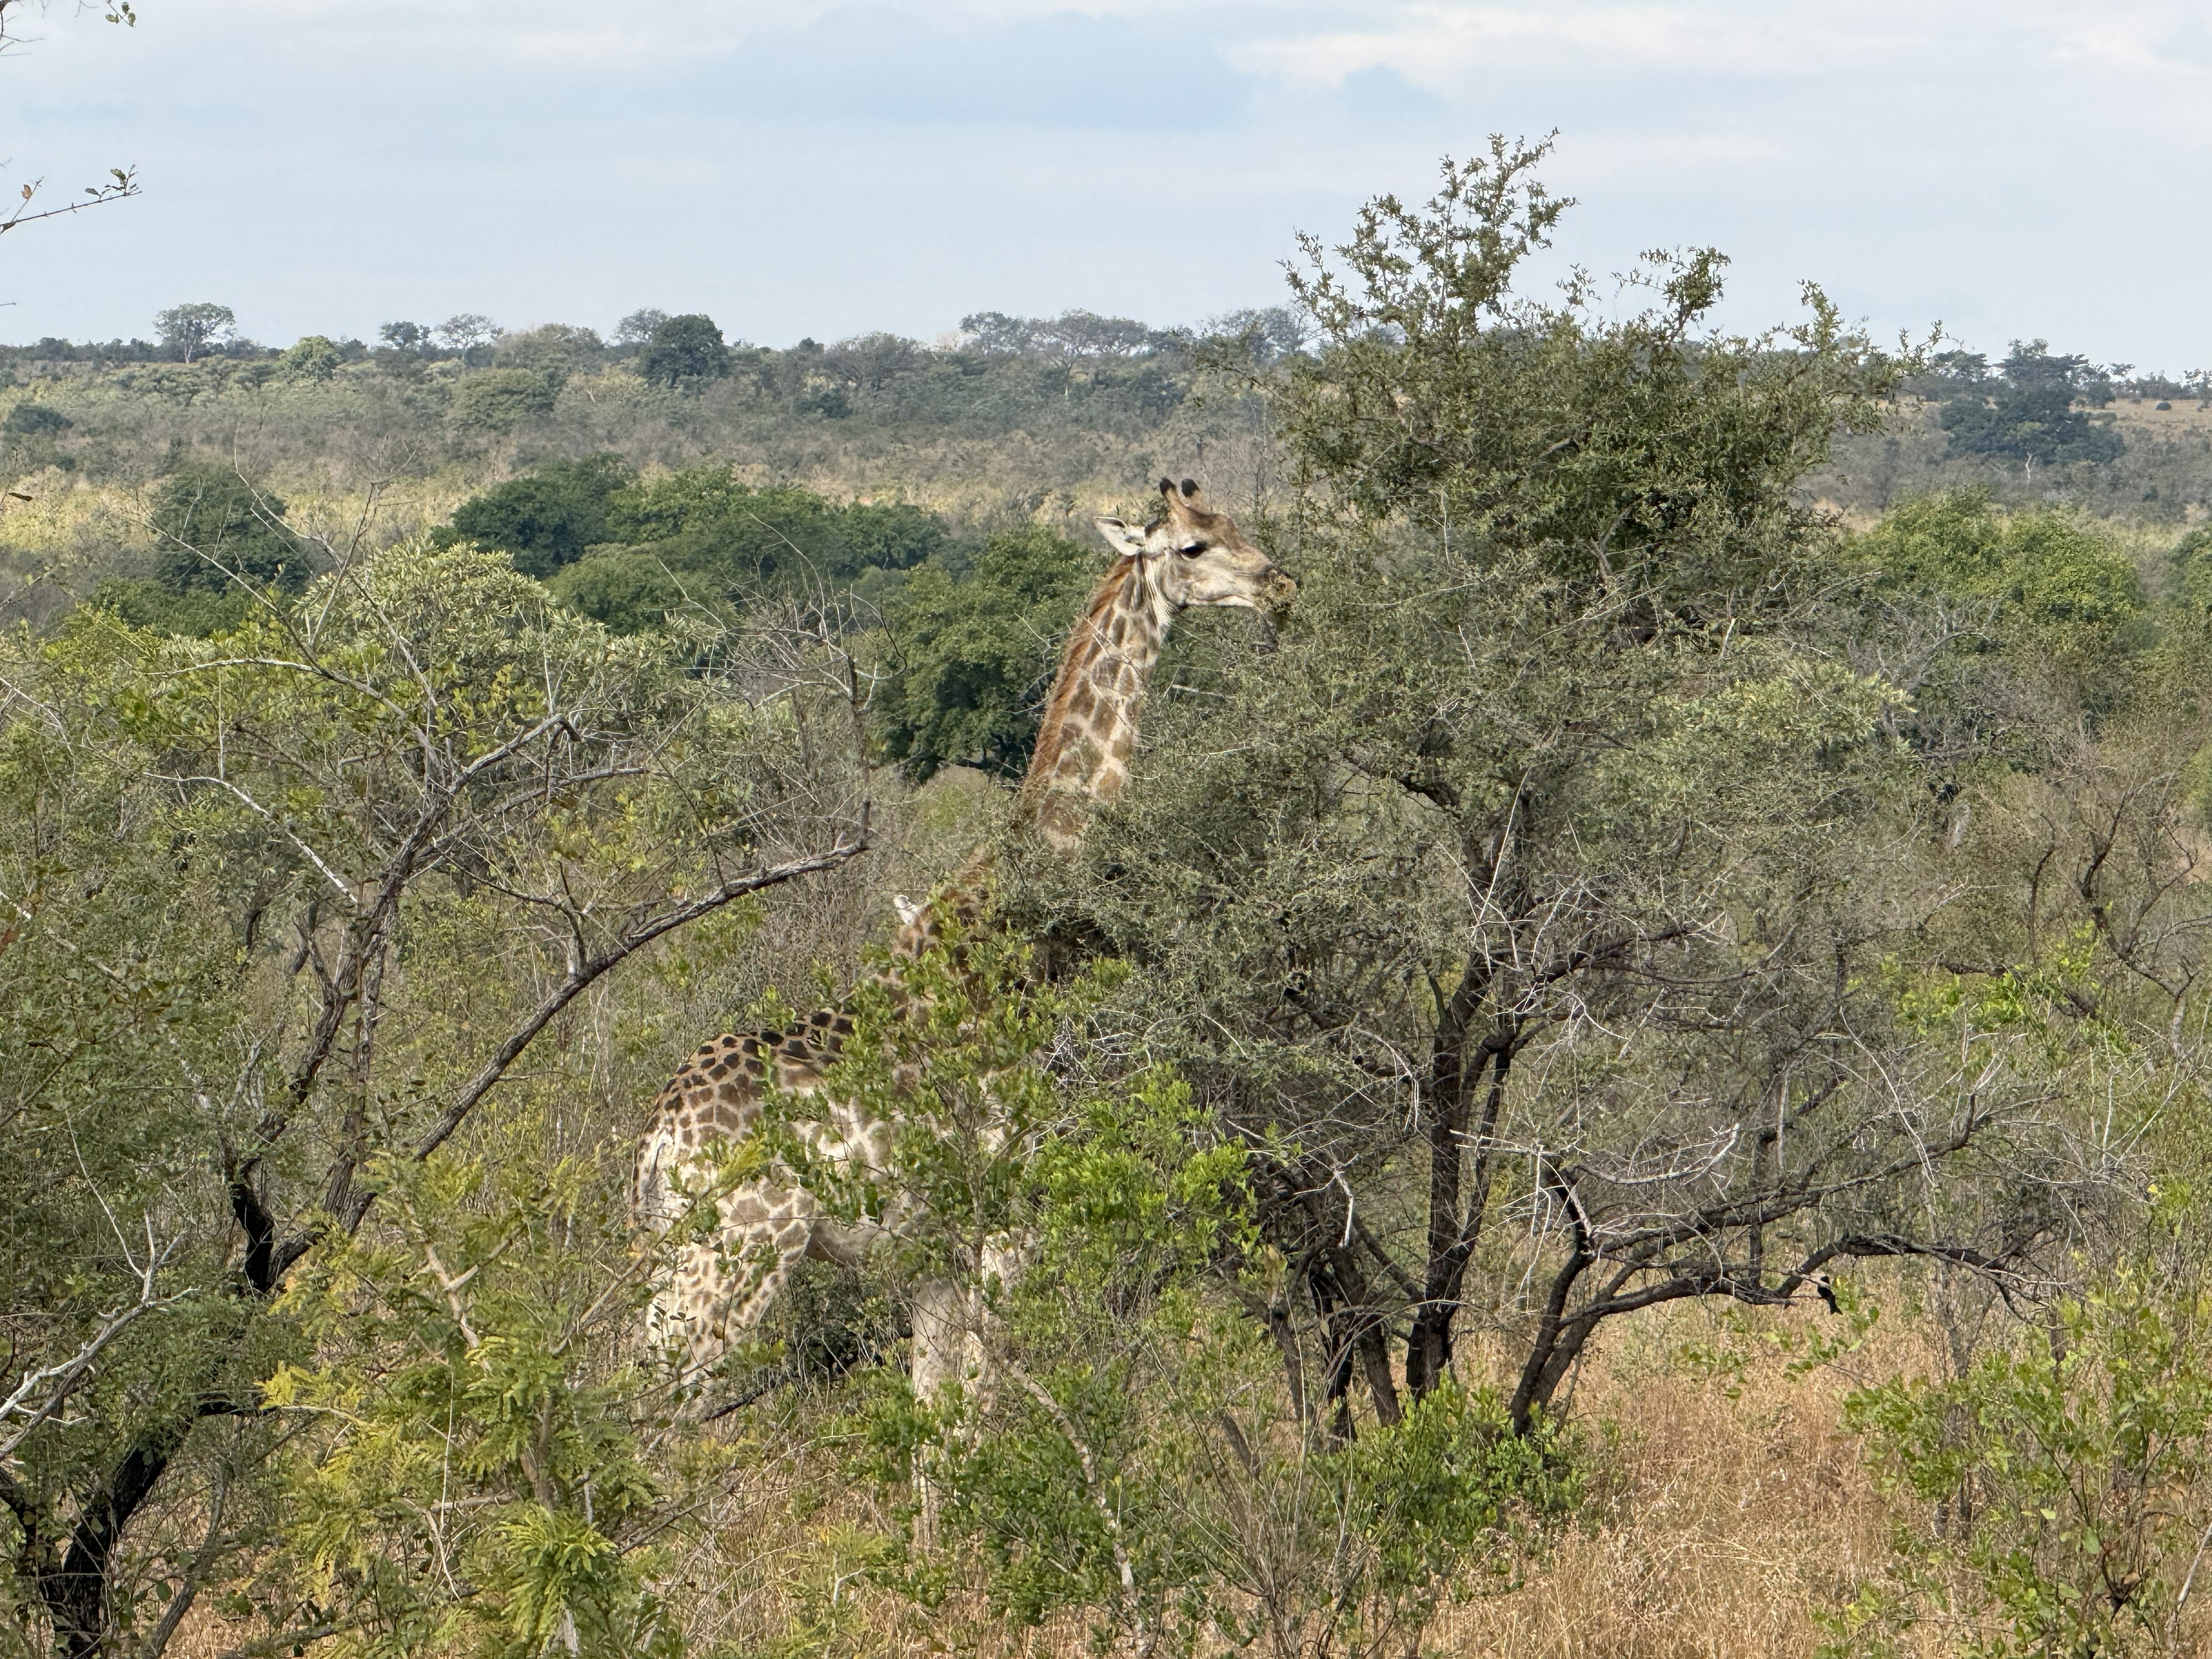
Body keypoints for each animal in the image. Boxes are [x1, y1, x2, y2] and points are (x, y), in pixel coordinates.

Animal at [633, 477, 1293, 1405]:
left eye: (1234, 522)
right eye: (1193, 547)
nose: (1280, 585)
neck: (1015, 906)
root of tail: (659, 1142)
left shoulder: (934, 1260)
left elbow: (941, 1426)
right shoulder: (1010, 1220)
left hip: (675, 1256)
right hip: (739, 1256)